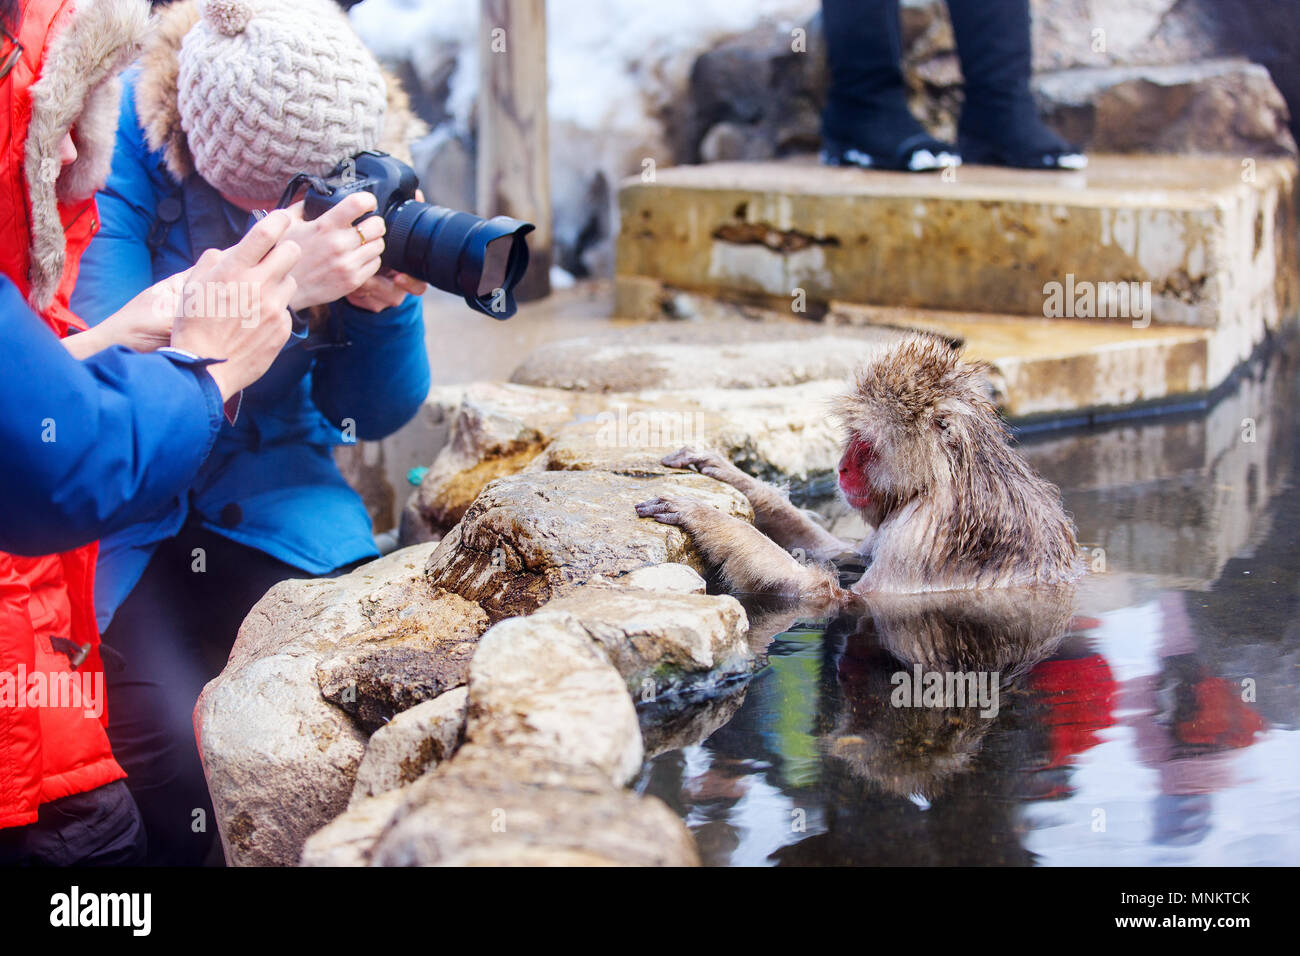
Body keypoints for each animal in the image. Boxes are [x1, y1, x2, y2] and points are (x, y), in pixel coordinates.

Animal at [635, 333, 1081, 604]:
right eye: (850, 433)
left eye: (864, 441)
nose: (842, 469)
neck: (944, 479)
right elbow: (841, 551)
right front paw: (725, 471)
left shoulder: (923, 533)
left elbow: (838, 598)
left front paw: (710, 521)